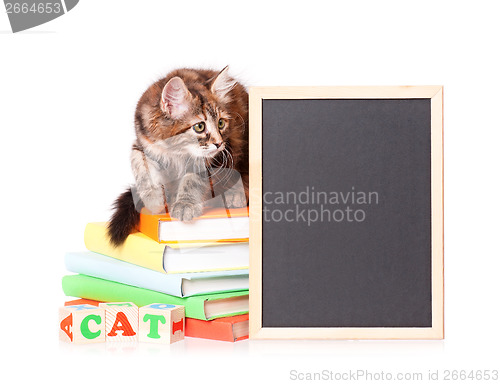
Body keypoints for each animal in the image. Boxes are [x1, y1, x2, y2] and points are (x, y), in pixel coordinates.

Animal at [109, 66, 250, 246]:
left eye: (221, 123)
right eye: (199, 126)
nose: (219, 143)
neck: (176, 151)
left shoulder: (211, 160)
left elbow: (192, 180)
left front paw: (185, 204)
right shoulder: (143, 142)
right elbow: (140, 165)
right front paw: (154, 200)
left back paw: (234, 196)